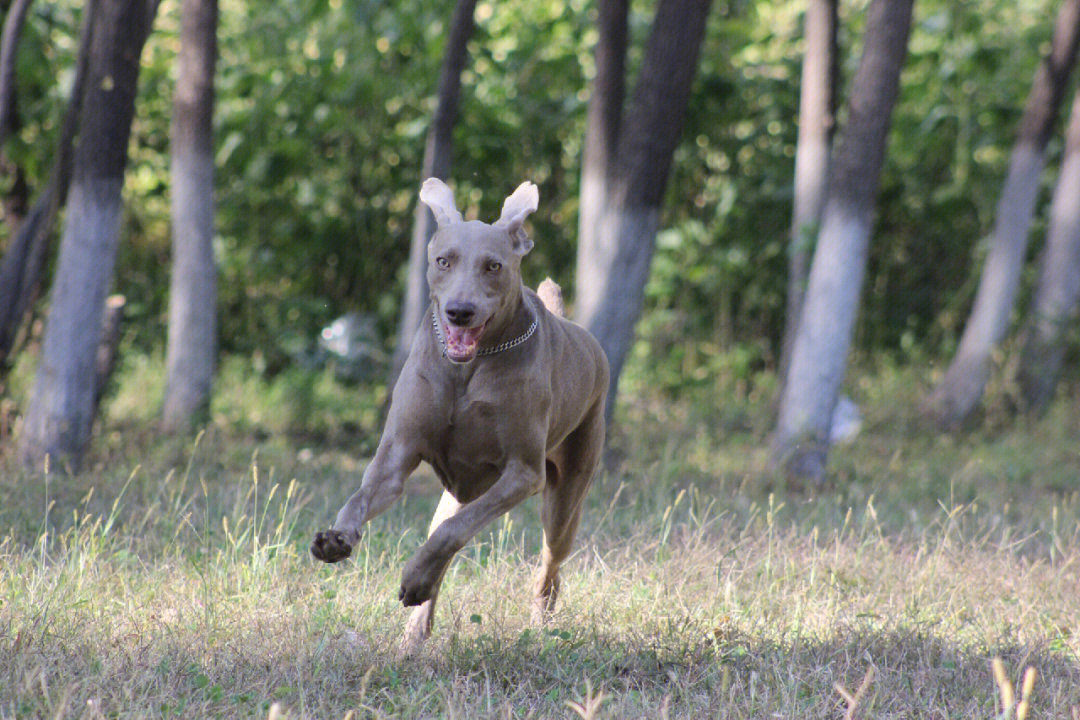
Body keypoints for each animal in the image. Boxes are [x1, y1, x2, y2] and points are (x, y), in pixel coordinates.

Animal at [311, 177, 609, 651]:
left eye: (493, 266)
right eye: (443, 261)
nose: (460, 311)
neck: (469, 367)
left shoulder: (523, 472)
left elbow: (453, 533)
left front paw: (414, 577)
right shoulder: (397, 454)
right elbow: (363, 497)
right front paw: (337, 539)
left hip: (566, 495)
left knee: (547, 565)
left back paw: (537, 623)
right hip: (458, 492)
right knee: (445, 533)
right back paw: (415, 631)